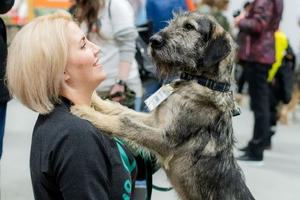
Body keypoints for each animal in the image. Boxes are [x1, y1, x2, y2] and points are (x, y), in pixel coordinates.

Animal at [71, 11, 254, 200]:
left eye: (189, 27)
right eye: (172, 23)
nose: (153, 40)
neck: (202, 82)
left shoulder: (167, 141)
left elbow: (125, 122)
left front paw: (87, 112)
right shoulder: (156, 121)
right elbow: (122, 110)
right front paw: (94, 99)